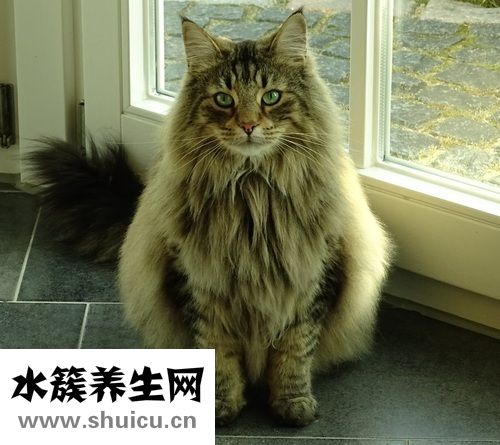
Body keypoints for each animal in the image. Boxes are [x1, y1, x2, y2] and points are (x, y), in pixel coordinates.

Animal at [29, 10, 391, 427]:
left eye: (271, 97)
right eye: (223, 99)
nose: (248, 125)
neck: (252, 195)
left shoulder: (313, 276)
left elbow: (294, 352)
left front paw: (293, 403)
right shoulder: (198, 280)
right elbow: (217, 354)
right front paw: (220, 405)